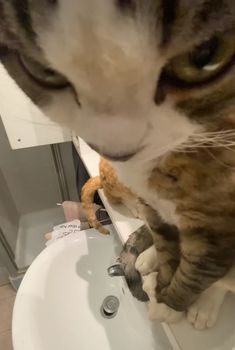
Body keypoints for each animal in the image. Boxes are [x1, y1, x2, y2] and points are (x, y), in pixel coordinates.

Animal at [1, 0, 235, 330]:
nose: (118, 147)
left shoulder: (215, 236)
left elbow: (198, 274)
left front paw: (171, 303)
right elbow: (168, 251)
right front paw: (161, 289)